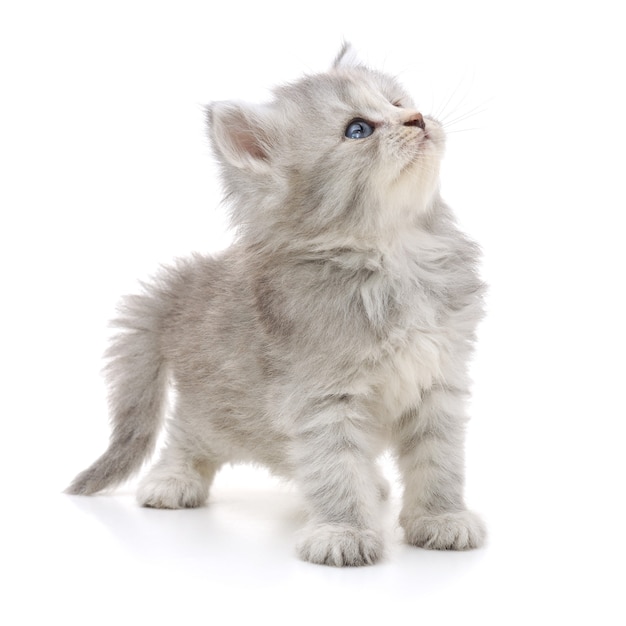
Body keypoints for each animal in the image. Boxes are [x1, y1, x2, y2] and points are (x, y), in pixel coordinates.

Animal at [66, 45, 486, 564]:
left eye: (396, 103)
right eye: (358, 130)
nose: (418, 118)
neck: (395, 256)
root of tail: (185, 284)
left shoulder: (438, 384)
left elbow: (437, 462)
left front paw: (440, 519)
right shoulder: (322, 400)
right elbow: (335, 470)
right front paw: (343, 532)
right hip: (218, 410)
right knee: (185, 435)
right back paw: (172, 479)